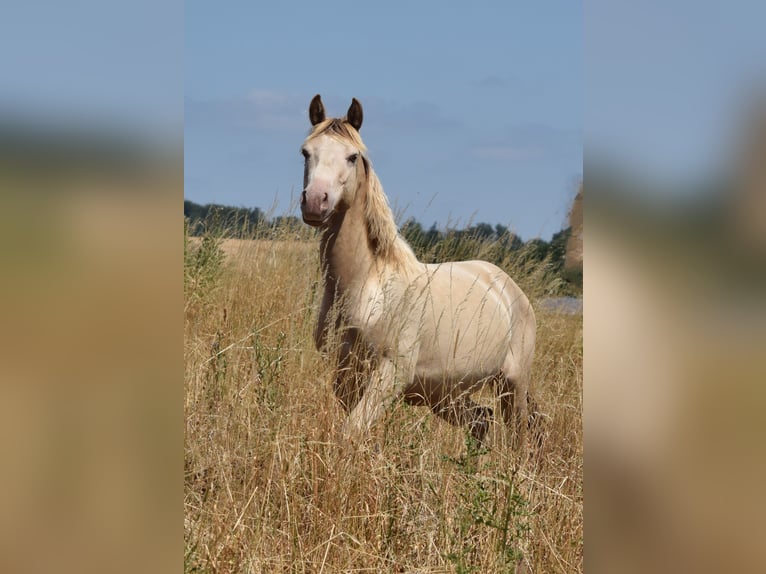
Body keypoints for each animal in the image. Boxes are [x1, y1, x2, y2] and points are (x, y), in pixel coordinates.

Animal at [300, 95, 537, 448]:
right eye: (305, 152)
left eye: (352, 156)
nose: (315, 202)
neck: (366, 286)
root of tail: (508, 288)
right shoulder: (344, 373)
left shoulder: (391, 374)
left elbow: (351, 432)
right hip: (444, 394)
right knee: (481, 421)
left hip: (512, 385)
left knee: (516, 436)